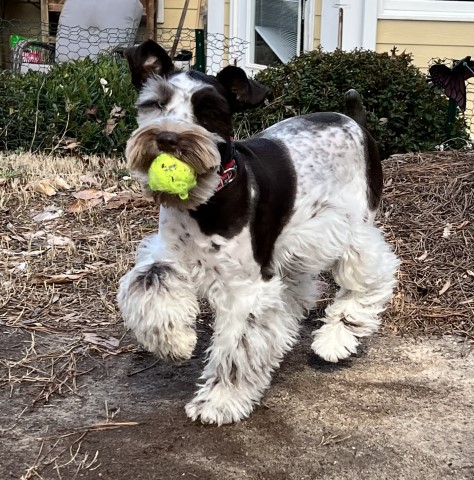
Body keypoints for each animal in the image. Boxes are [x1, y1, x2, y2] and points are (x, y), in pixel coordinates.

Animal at [116, 40, 398, 424]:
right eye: (155, 102)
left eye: (209, 110)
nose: (168, 138)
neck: (208, 199)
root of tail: (353, 120)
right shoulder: (167, 255)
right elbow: (152, 279)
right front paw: (175, 342)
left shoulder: (244, 289)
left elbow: (236, 349)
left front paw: (219, 401)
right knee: (297, 290)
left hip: (351, 230)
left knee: (368, 280)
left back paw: (334, 340)